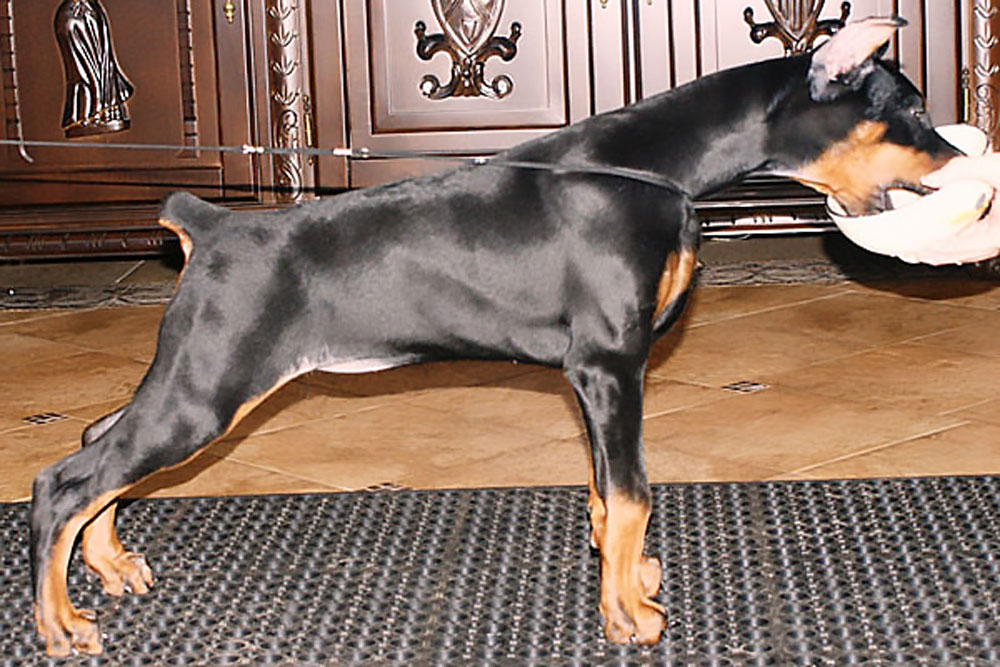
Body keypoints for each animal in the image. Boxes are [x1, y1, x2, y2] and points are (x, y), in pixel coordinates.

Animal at [30, 16, 961, 656]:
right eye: (911, 109)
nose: (960, 162)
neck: (653, 166)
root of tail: (212, 224)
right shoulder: (611, 362)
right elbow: (633, 491)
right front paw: (628, 615)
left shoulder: (594, 374)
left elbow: (604, 489)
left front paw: (624, 575)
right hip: (212, 383)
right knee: (61, 481)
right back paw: (61, 624)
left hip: (199, 373)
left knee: (96, 438)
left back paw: (111, 564)